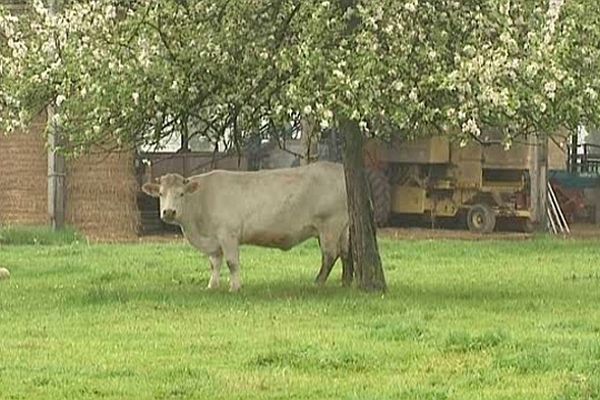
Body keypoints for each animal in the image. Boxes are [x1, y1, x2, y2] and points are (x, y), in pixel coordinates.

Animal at [144, 162, 352, 290]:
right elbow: (214, 263)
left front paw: (235, 287)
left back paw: (318, 282)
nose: (169, 212)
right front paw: (212, 286)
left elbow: (232, 262)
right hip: (344, 228)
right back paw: (345, 281)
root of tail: (338, 167)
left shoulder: (228, 234)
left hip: (330, 225)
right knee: (346, 252)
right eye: (161, 194)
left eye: (181, 194)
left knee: (330, 254)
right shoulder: (214, 240)